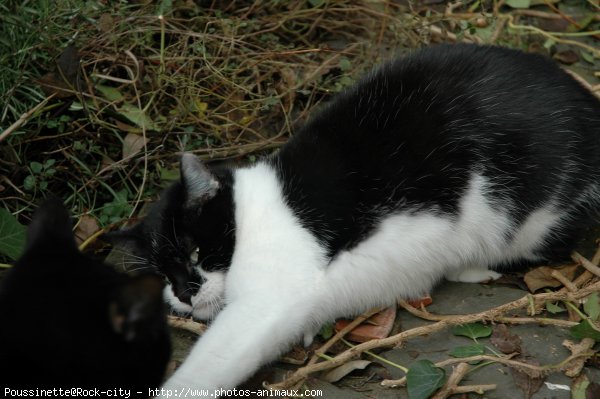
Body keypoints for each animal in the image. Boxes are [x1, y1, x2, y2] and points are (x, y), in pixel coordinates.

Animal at [113, 45, 600, 396]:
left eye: (194, 251)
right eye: (162, 276)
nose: (184, 293)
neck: (252, 215)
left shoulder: (266, 302)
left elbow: (210, 363)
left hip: (531, 217)